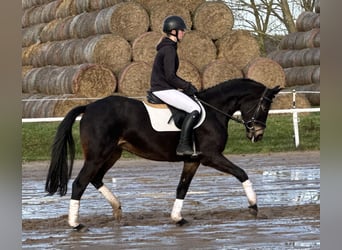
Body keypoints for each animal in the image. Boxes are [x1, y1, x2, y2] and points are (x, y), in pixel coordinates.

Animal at [44, 77, 280, 230]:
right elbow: (241, 173)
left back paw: (117, 210)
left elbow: (182, 188)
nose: (257, 134)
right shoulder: (211, 156)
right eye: (264, 107)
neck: (214, 111)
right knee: (80, 183)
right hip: (97, 156)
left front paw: (177, 218)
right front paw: (253, 206)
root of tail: (89, 107)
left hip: (112, 154)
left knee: (96, 179)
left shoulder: (193, 160)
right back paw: (75, 224)